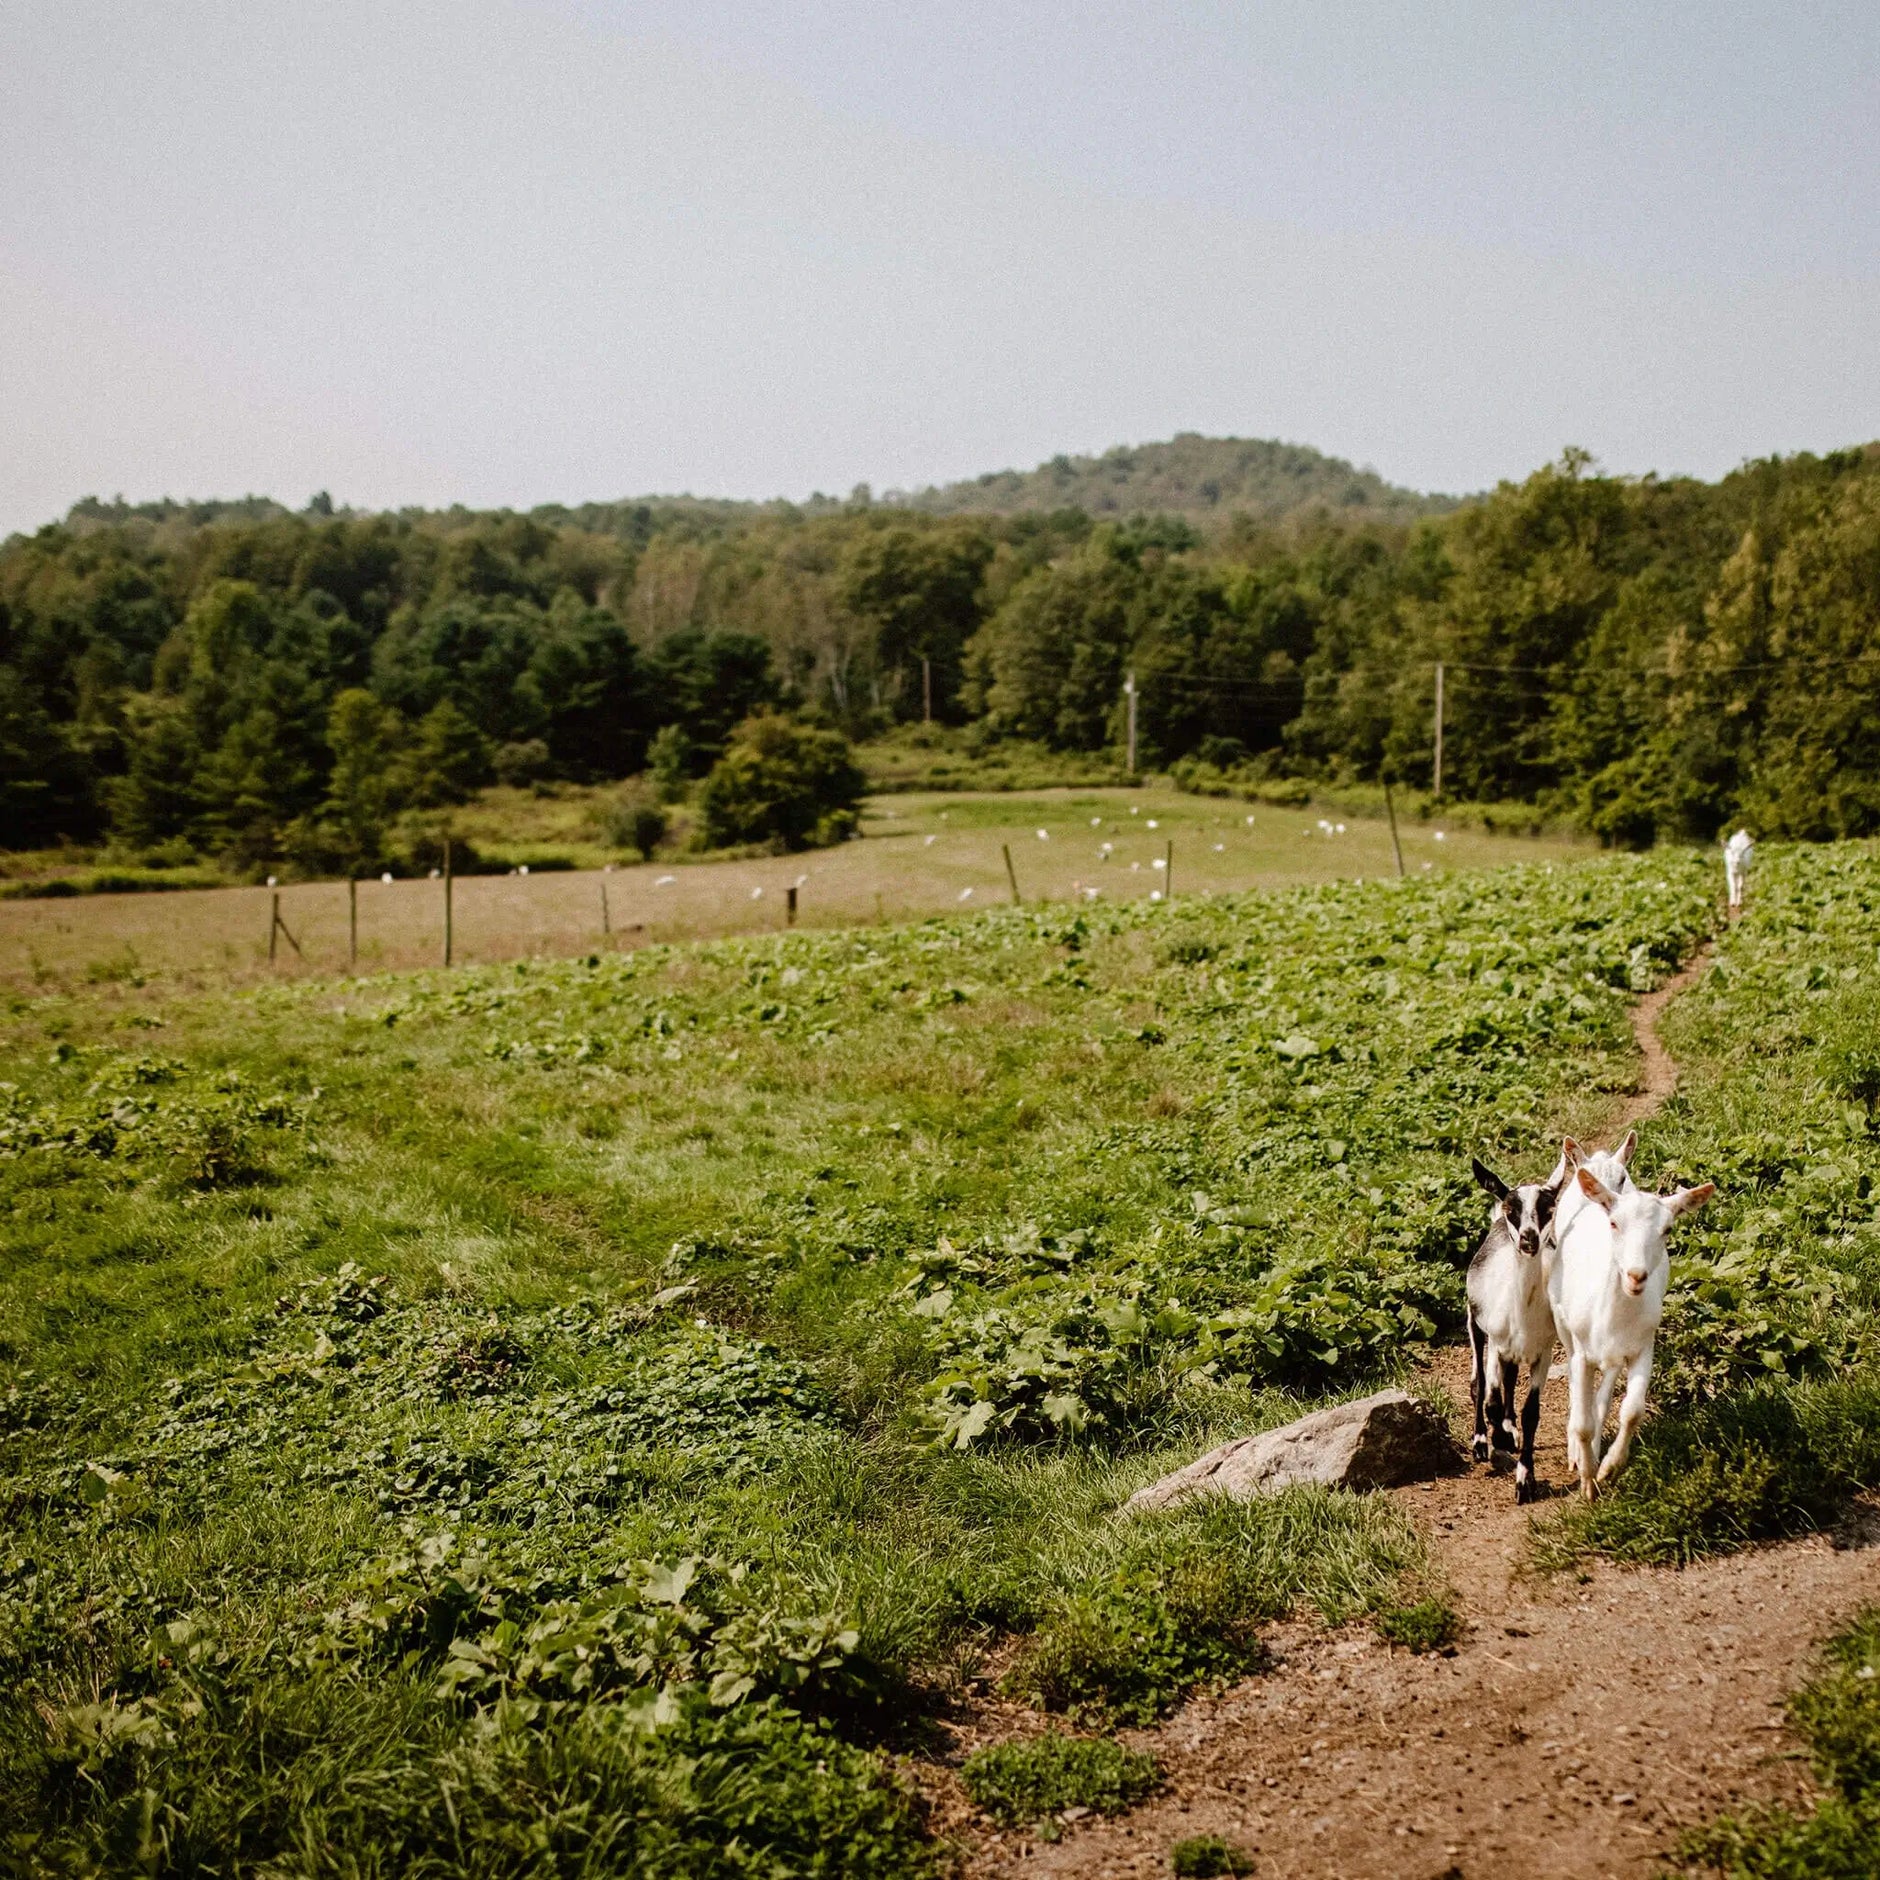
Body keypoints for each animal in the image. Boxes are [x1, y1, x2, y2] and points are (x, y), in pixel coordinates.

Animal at [1466, 1156, 1565, 1503]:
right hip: (1476, 1324)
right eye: (1513, 1209)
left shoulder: (1543, 1351)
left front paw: (1526, 1480)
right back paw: (1483, 1440)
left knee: (1508, 1379)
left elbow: (1531, 1412)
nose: (1528, 1238)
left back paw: (1508, 1429)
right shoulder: (1496, 1340)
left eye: (1548, 1208)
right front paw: (1497, 1440)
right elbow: (1490, 1399)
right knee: (1481, 1383)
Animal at [1549, 1156, 1714, 1497]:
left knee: (1606, 1388)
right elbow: (1582, 1422)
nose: (1636, 1276)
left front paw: (1608, 1468)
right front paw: (1586, 1479)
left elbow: (1632, 1411)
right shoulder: (1582, 1351)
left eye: (1667, 1229)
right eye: (1614, 1224)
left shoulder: (1643, 1347)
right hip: (1562, 1323)